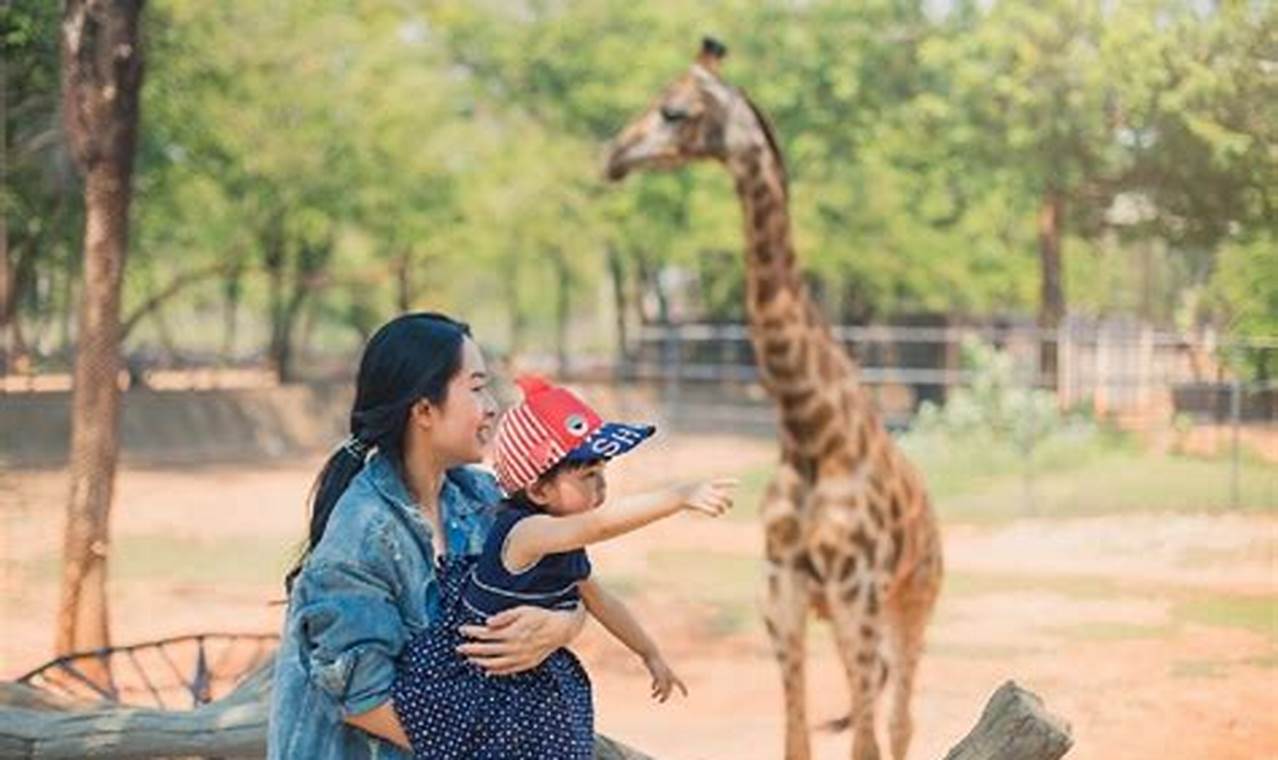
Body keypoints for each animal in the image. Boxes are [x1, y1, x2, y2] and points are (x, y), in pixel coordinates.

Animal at [603, 40, 945, 760]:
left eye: (674, 110)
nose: (614, 155)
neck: (810, 430)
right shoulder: (781, 592)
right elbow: (795, 739)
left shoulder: (854, 589)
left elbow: (866, 744)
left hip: (913, 599)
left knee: (899, 722)